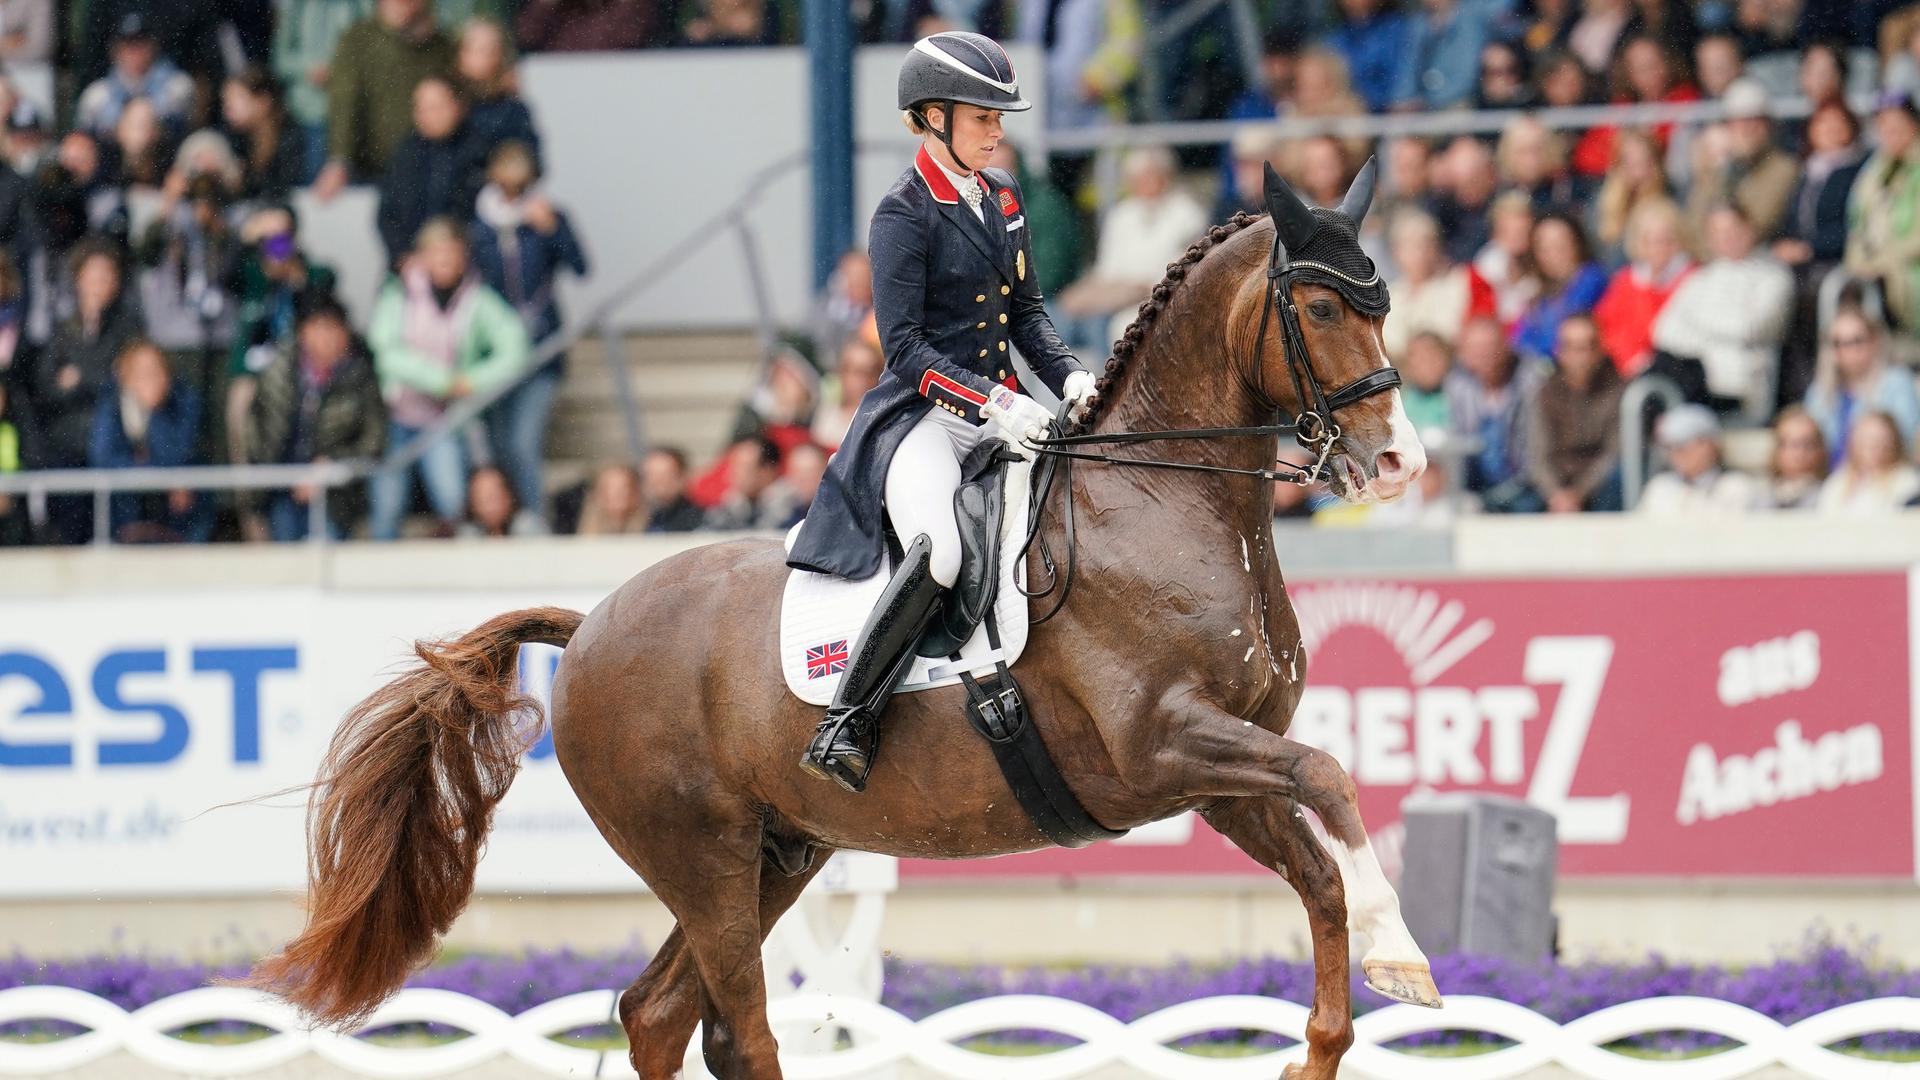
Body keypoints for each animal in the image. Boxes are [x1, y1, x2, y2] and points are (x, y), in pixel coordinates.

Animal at [251, 168, 1443, 1076]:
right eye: (1324, 309)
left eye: (1386, 304)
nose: (1400, 464)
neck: (1157, 499)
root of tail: (589, 628)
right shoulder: (1163, 745)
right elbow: (1332, 779)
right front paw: (1408, 954)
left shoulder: (1216, 773)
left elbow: (1320, 867)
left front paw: (1355, 998)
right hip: (705, 857)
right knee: (735, 1026)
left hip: (782, 851)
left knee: (662, 1015)